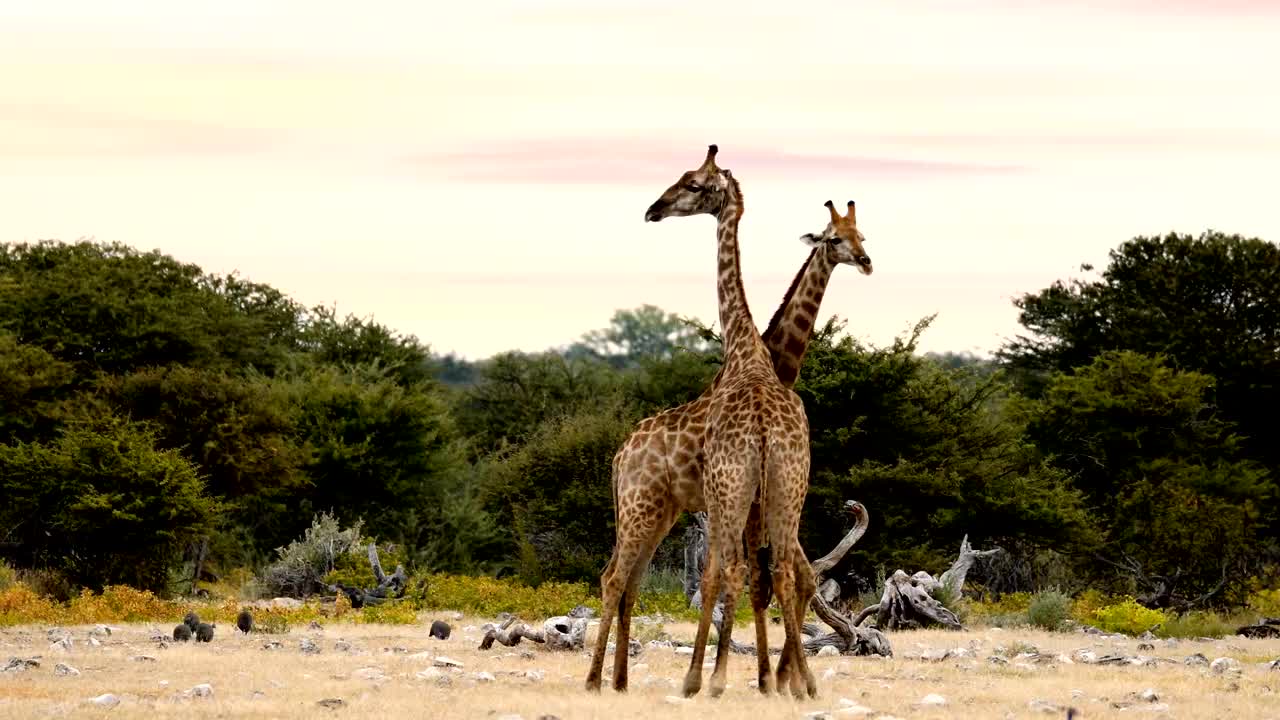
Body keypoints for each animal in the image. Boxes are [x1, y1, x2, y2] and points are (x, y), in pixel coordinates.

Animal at [586, 194, 870, 696]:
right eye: (835, 238)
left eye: (862, 235)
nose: (864, 259)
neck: (775, 361)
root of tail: (621, 453)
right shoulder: (742, 503)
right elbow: (745, 577)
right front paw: (767, 677)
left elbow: (785, 577)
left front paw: (778, 678)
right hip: (640, 507)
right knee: (615, 576)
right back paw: (598, 680)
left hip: (661, 512)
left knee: (631, 581)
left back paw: (618, 680)